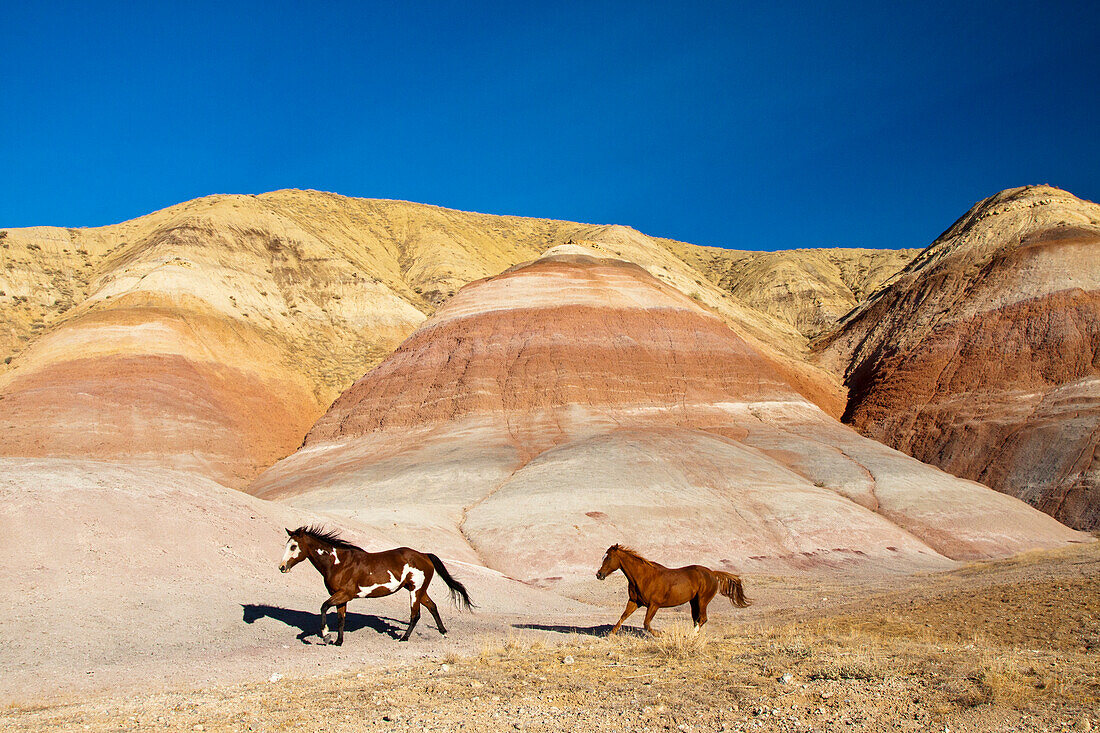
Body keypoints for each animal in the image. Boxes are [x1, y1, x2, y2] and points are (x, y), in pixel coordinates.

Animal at [277, 526, 470, 638]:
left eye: (293, 546)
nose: (282, 567)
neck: (338, 563)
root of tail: (424, 555)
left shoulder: (345, 594)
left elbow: (324, 607)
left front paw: (325, 635)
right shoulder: (339, 596)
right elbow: (341, 619)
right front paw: (338, 641)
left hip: (415, 591)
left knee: (415, 615)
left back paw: (404, 638)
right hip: (418, 590)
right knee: (432, 606)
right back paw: (443, 632)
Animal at [598, 541, 752, 633]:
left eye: (609, 557)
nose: (599, 574)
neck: (643, 577)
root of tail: (713, 573)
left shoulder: (654, 604)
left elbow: (647, 624)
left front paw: (660, 635)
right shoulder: (634, 602)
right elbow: (622, 617)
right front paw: (610, 635)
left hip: (702, 600)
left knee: (702, 619)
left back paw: (690, 636)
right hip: (694, 602)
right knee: (697, 619)